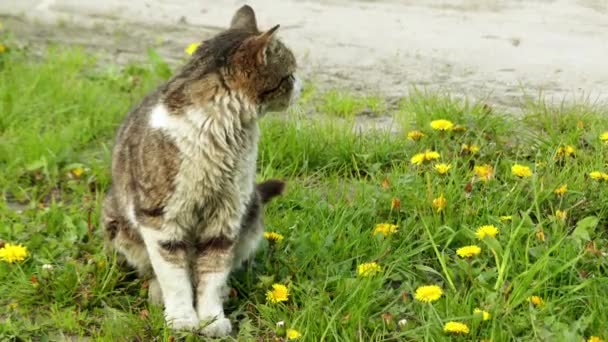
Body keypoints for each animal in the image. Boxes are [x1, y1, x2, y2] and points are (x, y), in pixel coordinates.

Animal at [100, 4, 300, 336]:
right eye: (290, 74)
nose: (301, 88)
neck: (223, 132)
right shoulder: (161, 218)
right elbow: (175, 278)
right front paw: (182, 319)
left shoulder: (226, 216)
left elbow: (213, 274)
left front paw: (211, 319)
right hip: (118, 222)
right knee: (154, 270)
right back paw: (158, 293)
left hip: (252, 212)